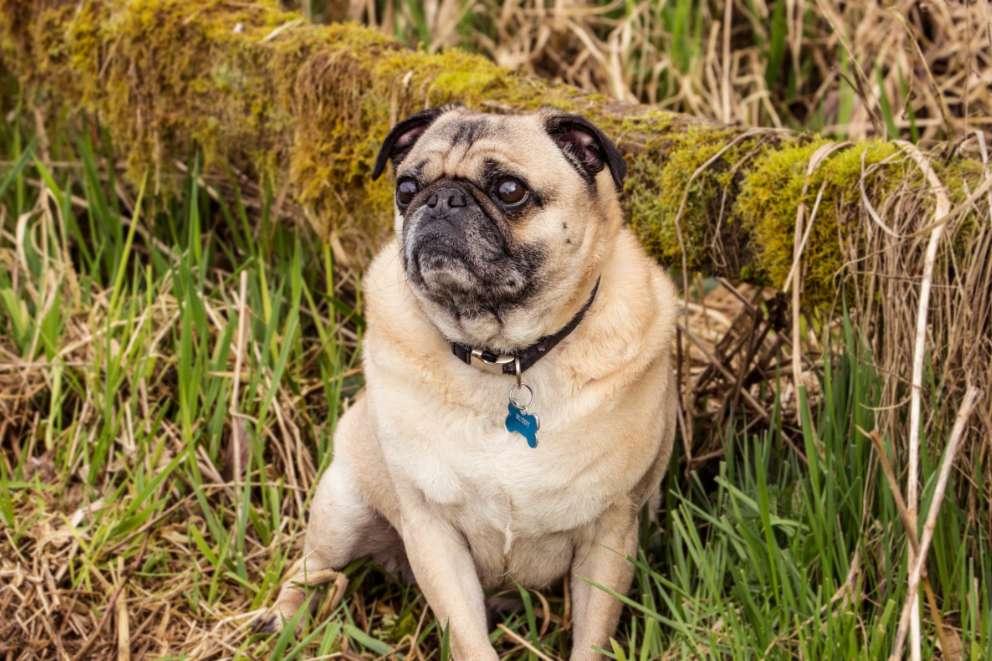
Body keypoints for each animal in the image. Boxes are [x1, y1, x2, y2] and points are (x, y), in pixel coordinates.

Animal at [264, 105, 680, 656]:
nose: (442, 197)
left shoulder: (610, 532)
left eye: (509, 190)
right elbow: (467, 637)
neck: (504, 357)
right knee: (311, 565)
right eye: (406, 187)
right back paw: (282, 617)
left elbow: (592, 637)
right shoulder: (433, 532)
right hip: (342, 507)